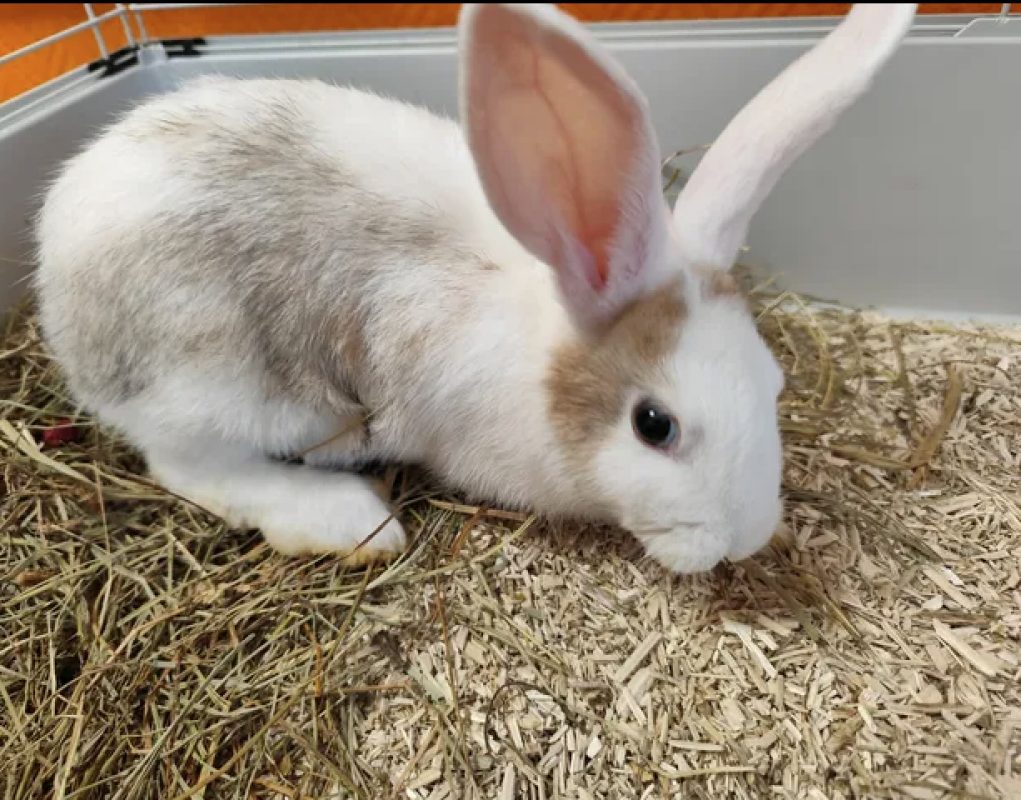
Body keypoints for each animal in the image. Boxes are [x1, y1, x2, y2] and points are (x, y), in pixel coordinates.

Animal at [33, 3, 916, 574]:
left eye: (775, 384)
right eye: (653, 425)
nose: (744, 539)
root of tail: (55, 271)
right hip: (211, 382)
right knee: (185, 465)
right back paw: (345, 519)